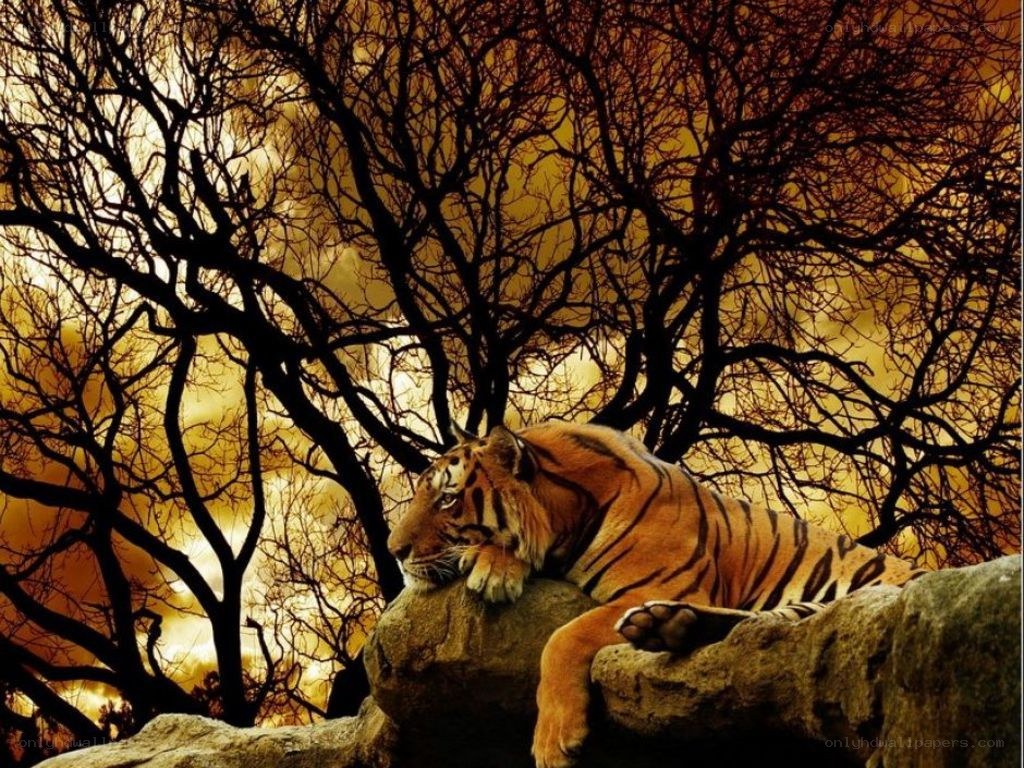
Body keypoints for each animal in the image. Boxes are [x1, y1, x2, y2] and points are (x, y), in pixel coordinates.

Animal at [386, 420, 926, 768]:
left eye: (448, 498)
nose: (393, 550)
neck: (567, 513)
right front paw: (493, 564)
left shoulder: (659, 584)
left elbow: (563, 637)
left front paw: (554, 741)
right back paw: (667, 626)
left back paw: (660, 626)